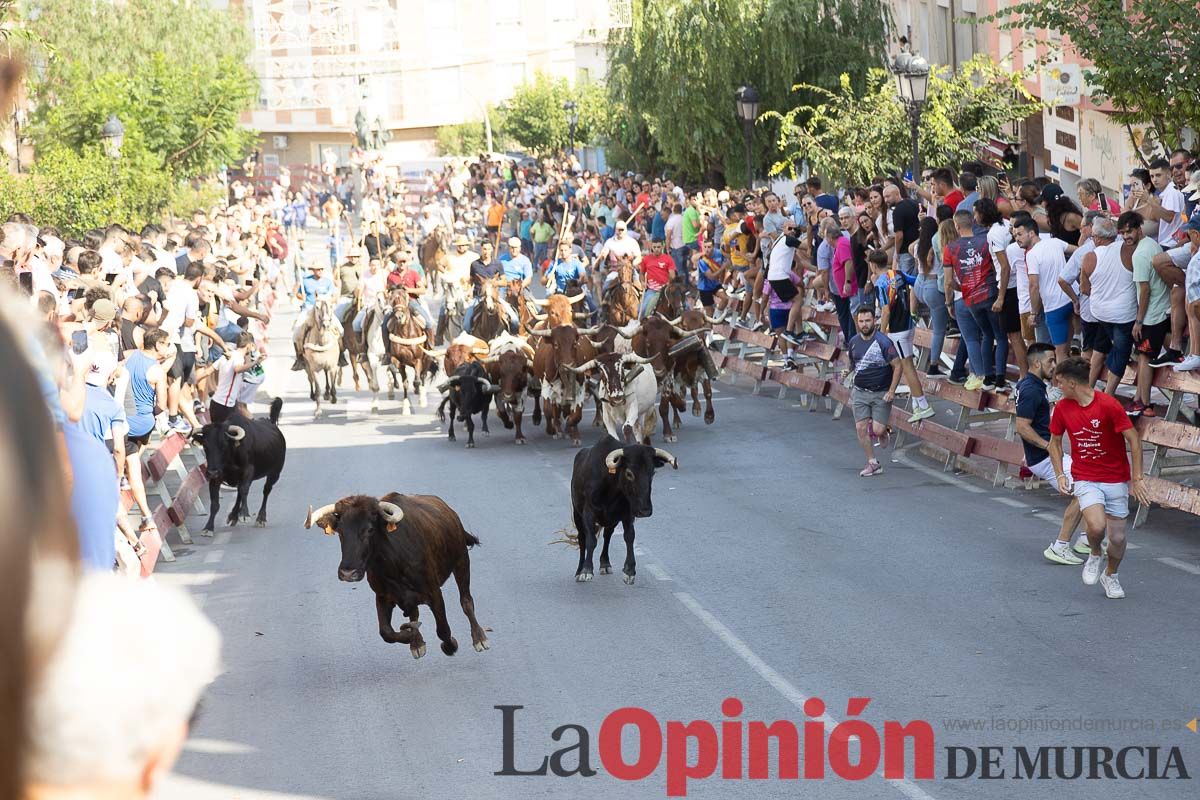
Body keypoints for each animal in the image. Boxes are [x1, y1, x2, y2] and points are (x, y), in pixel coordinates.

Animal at [199, 398, 290, 534]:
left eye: (224, 445)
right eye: (205, 445)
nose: (212, 472)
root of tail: (272, 423)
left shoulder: (248, 471)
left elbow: (244, 490)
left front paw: (244, 514)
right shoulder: (216, 477)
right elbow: (215, 503)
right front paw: (208, 527)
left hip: (274, 474)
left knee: (266, 491)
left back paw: (260, 518)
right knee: (239, 493)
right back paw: (233, 515)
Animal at [307, 494, 489, 657]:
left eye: (370, 529)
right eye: (340, 531)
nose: (348, 573)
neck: (392, 565)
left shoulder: (434, 592)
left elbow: (443, 629)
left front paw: (450, 646)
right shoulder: (382, 596)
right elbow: (386, 632)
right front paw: (411, 636)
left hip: (462, 561)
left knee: (466, 601)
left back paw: (479, 638)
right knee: (414, 613)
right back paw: (416, 643)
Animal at [568, 434, 676, 585]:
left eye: (652, 472)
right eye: (629, 473)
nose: (645, 511)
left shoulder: (627, 514)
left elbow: (629, 536)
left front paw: (629, 571)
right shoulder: (588, 513)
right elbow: (591, 541)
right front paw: (586, 570)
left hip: (611, 520)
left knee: (607, 536)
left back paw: (605, 564)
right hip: (577, 514)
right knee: (582, 538)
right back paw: (579, 570)